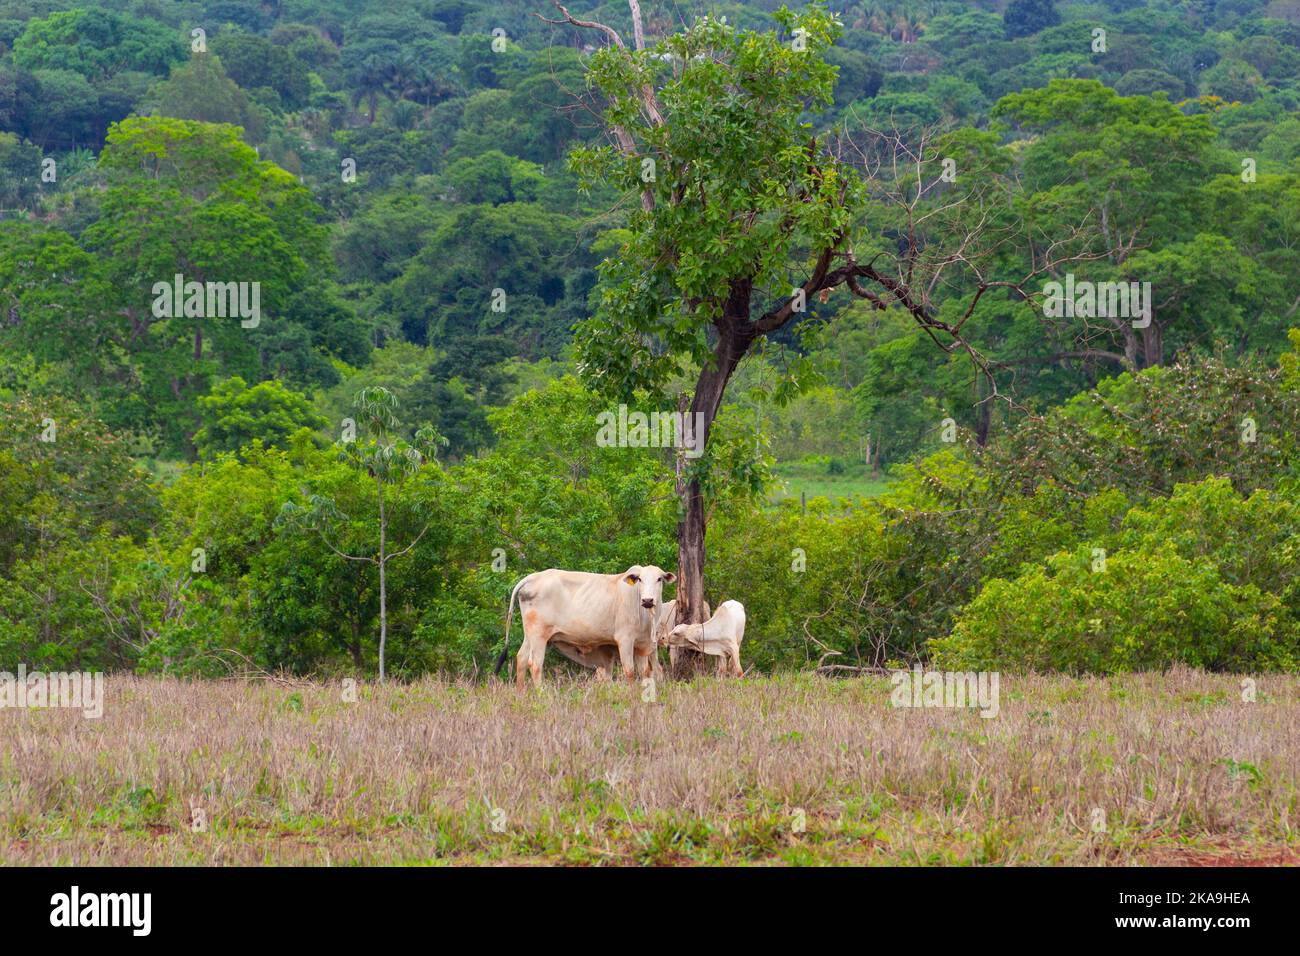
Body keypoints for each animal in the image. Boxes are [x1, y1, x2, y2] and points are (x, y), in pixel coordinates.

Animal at [494, 566, 676, 688]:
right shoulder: (625, 640)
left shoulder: (642, 646)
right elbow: (630, 671)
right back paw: (541, 693)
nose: (648, 600)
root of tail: (532, 578)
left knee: (522, 658)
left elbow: (645, 673)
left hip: (530, 634)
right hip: (539, 635)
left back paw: (521, 693)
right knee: (535, 664)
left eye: (659, 579)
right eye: (640, 579)